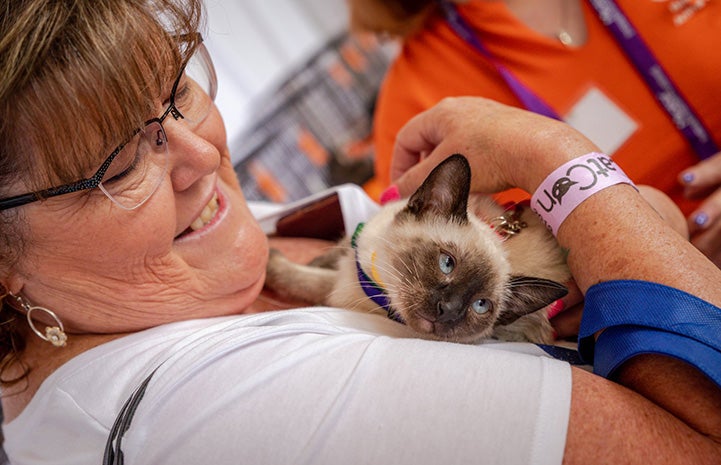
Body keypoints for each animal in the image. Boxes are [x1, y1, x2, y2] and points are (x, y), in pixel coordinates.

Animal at [264, 154, 568, 342]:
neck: (377, 279)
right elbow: (331, 254)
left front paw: (270, 263)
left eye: (480, 305)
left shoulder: (339, 292)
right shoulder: (353, 247)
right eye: (447, 263)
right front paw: (312, 259)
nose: (447, 310)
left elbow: (306, 281)